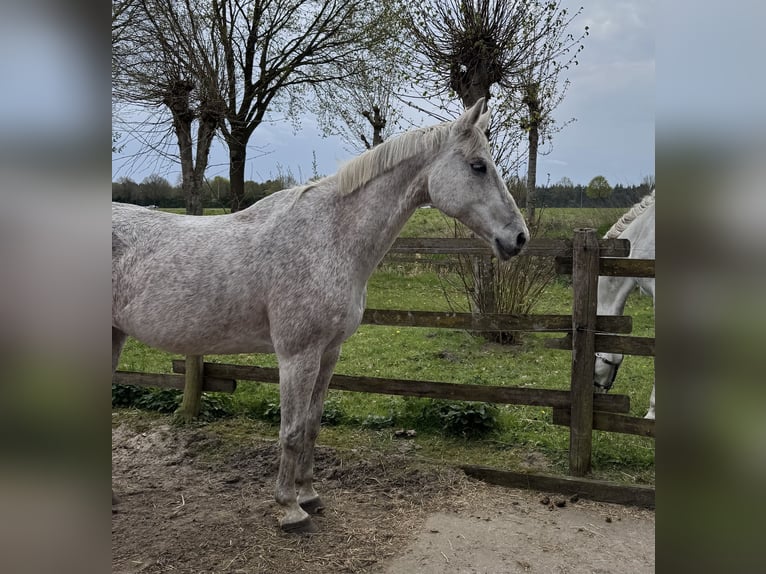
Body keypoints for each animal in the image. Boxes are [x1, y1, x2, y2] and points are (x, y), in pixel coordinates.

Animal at [112, 98, 529, 533]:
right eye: (478, 165)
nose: (519, 238)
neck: (330, 236)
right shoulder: (298, 356)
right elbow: (292, 430)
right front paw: (289, 508)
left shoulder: (329, 353)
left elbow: (312, 425)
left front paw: (309, 495)